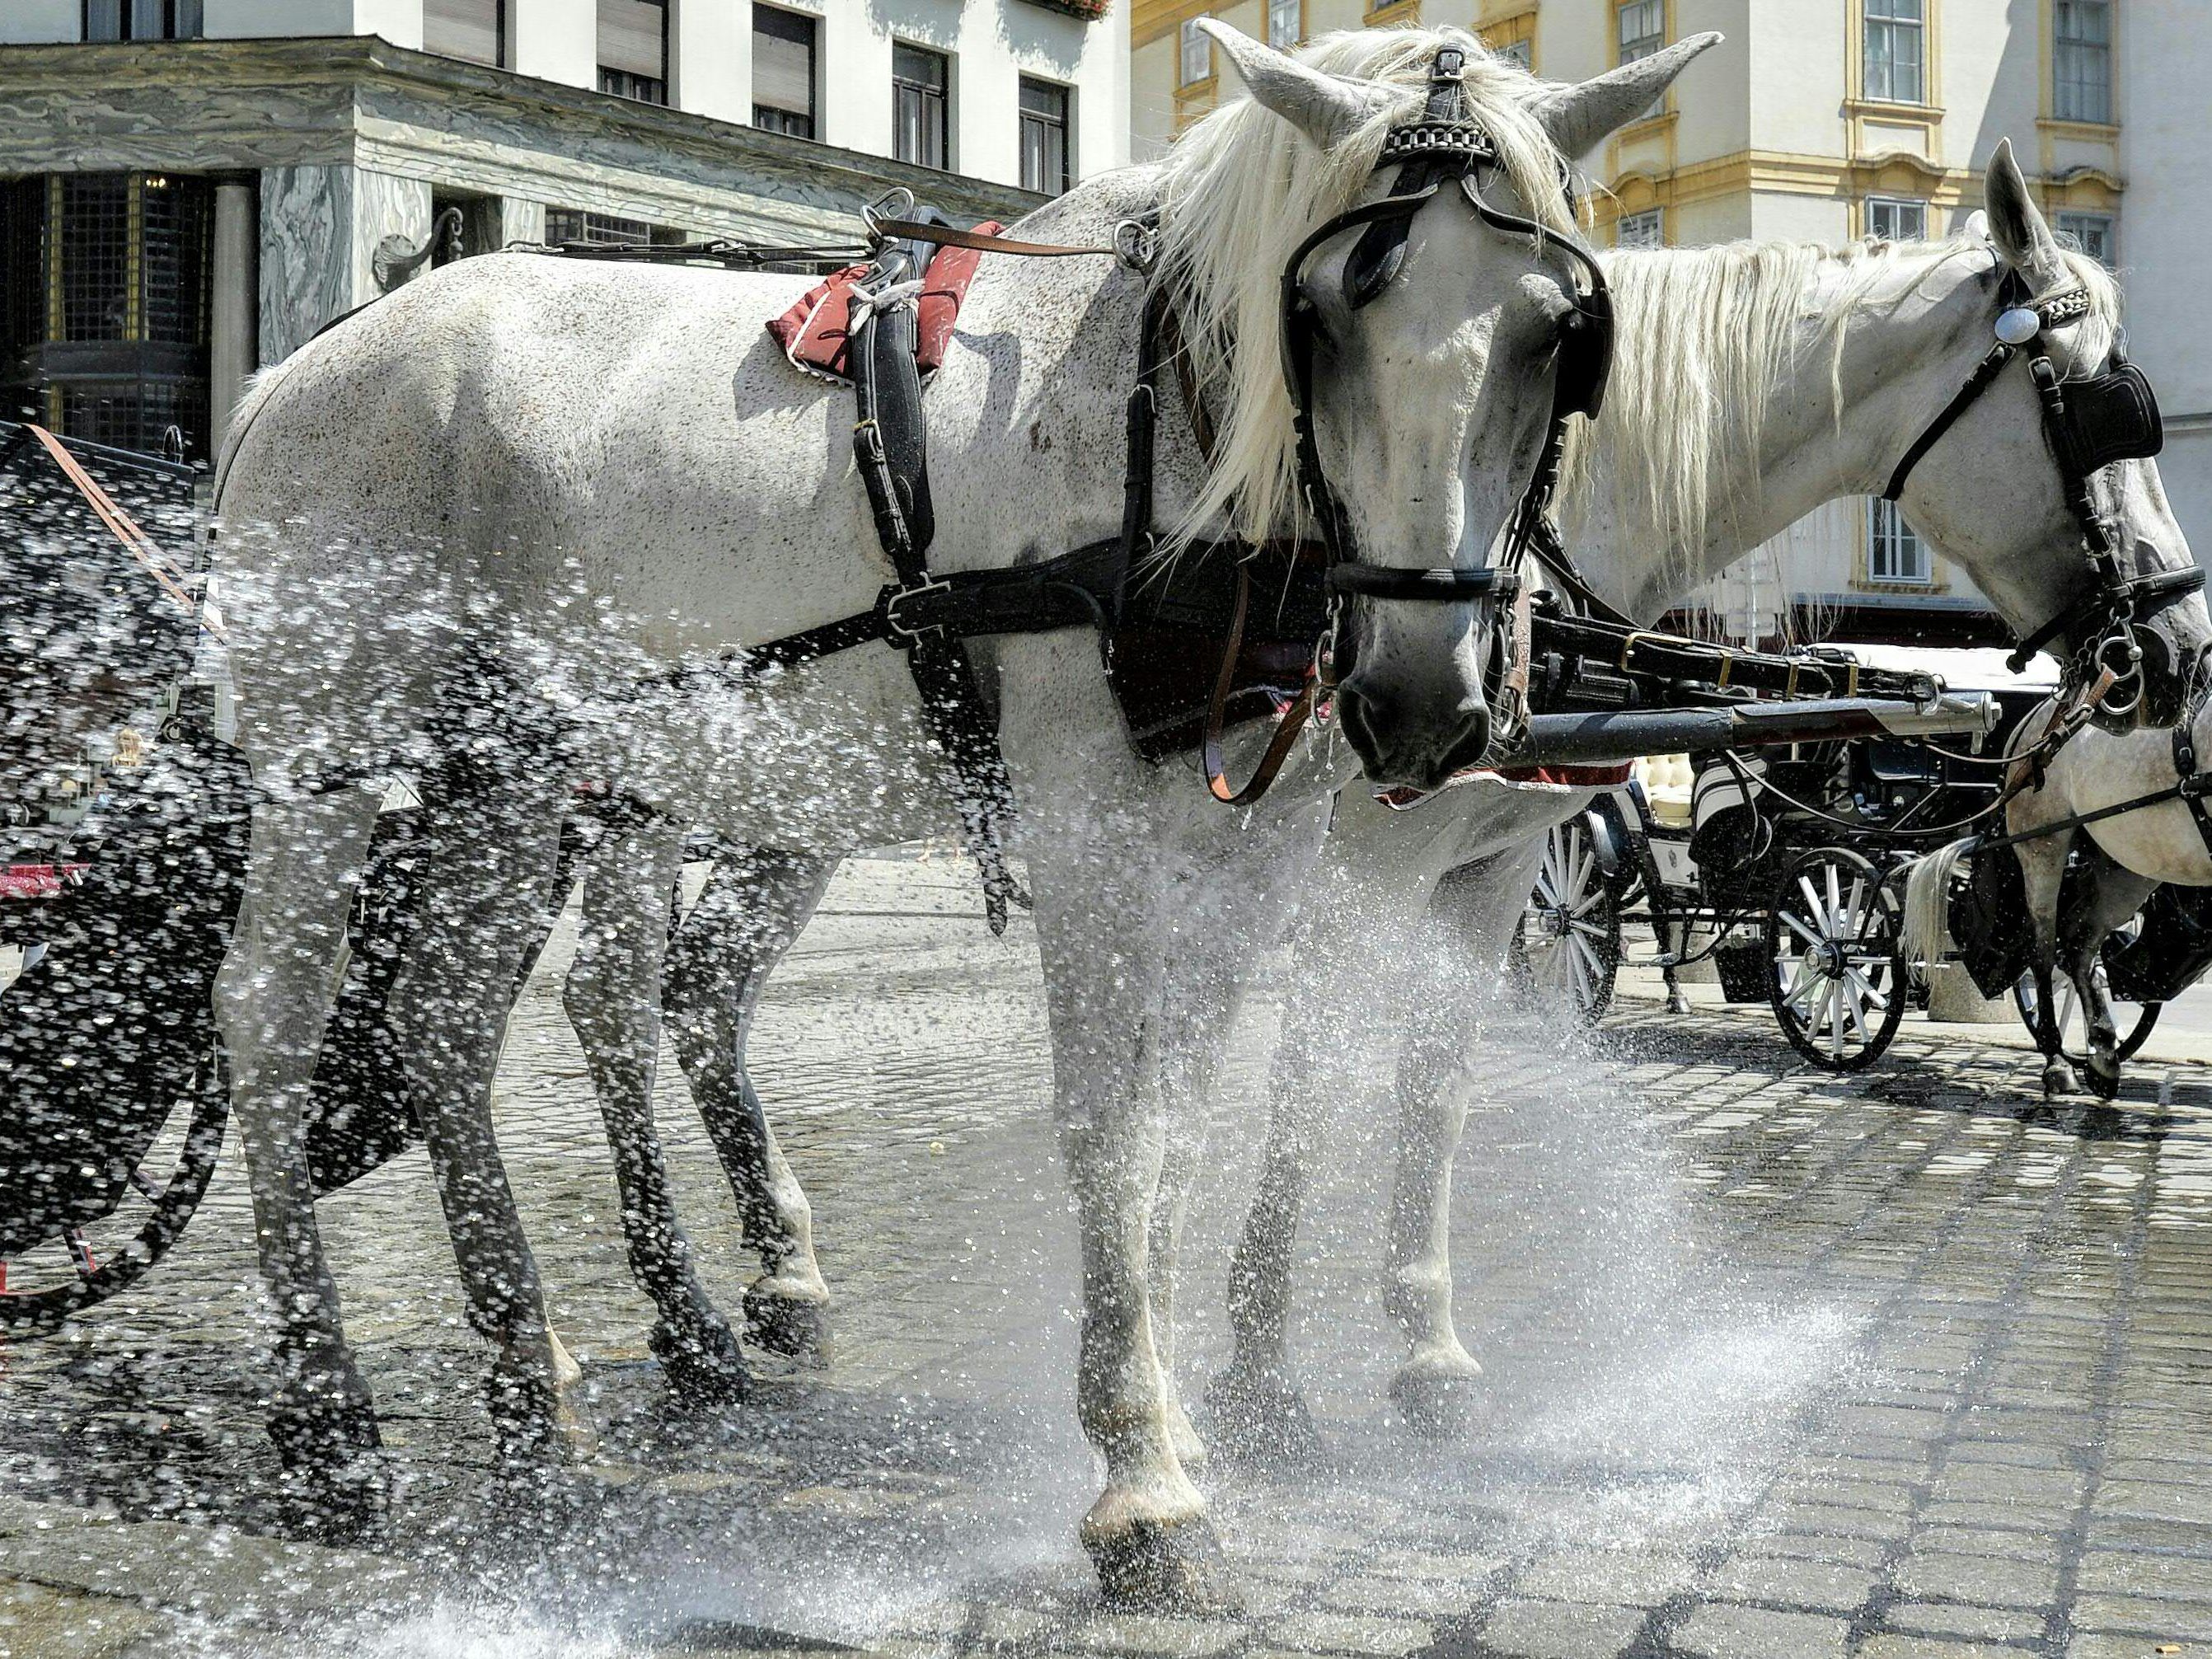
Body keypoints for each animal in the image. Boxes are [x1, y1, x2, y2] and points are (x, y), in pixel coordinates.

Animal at [203, 19, 1708, 1610]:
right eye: (1319, 306)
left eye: (1558, 330)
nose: (1422, 694)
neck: (1164, 418)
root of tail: (297, 369)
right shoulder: (1091, 827)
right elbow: (1111, 1128)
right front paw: (1140, 1482)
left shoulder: (1248, 848)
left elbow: (1180, 1128)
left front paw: (1178, 1413)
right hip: (329, 758)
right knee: (273, 1019)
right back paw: (327, 1412)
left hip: (514, 774)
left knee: (444, 1023)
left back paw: (533, 1387)